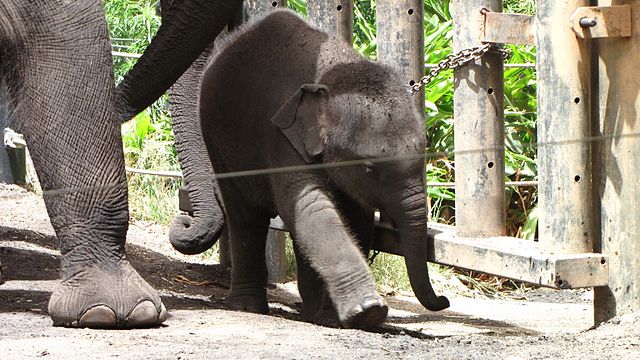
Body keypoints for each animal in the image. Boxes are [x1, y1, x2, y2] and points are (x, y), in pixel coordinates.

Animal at [200, 9, 450, 330]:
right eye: (369, 169)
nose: (444, 300)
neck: (332, 76)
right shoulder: (282, 140)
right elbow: (312, 206)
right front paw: (369, 311)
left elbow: (355, 218)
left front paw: (335, 318)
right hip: (218, 142)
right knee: (246, 216)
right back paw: (248, 307)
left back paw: (311, 314)